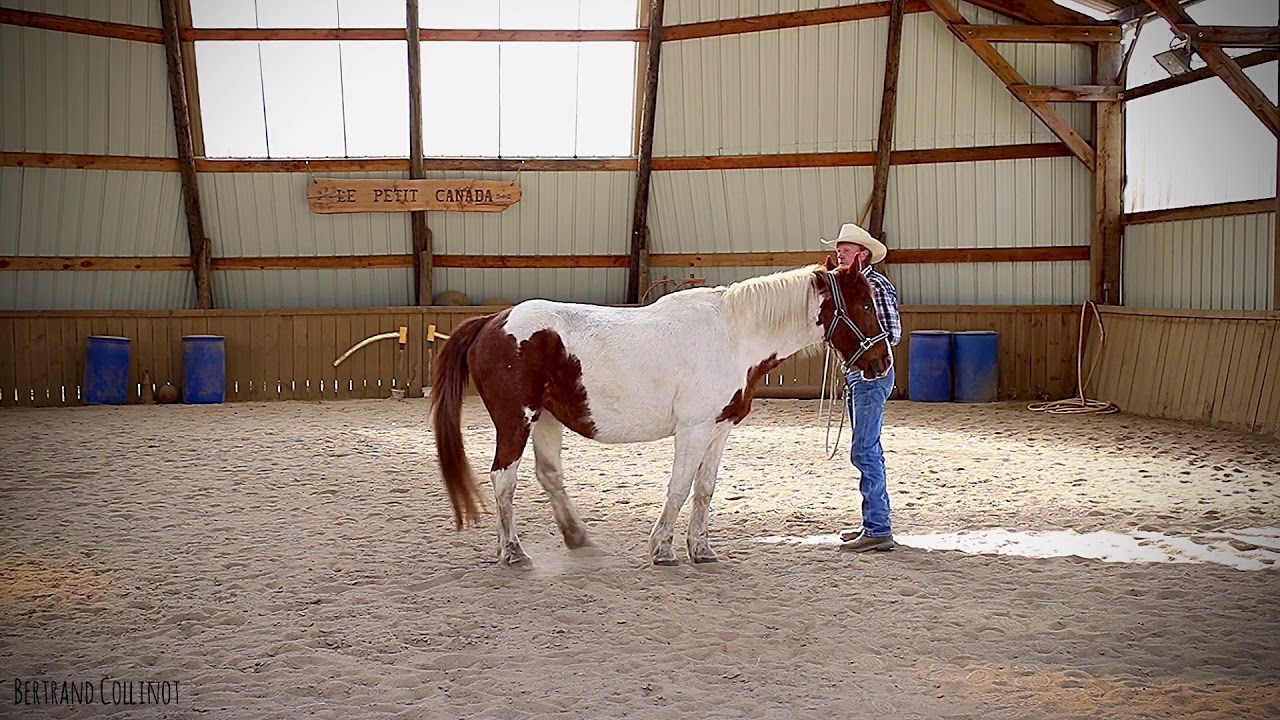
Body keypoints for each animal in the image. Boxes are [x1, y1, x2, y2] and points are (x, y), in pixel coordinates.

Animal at [429, 255, 892, 567]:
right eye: (866, 305)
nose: (881, 363)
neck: (731, 335)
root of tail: (493, 320)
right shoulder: (694, 428)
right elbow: (679, 487)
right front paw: (664, 548)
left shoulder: (719, 429)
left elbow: (704, 490)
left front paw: (701, 549)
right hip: (516, 420)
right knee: (503, 480)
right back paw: (512, 551)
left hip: (544, 419)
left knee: (549, 476)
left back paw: (579, 539)